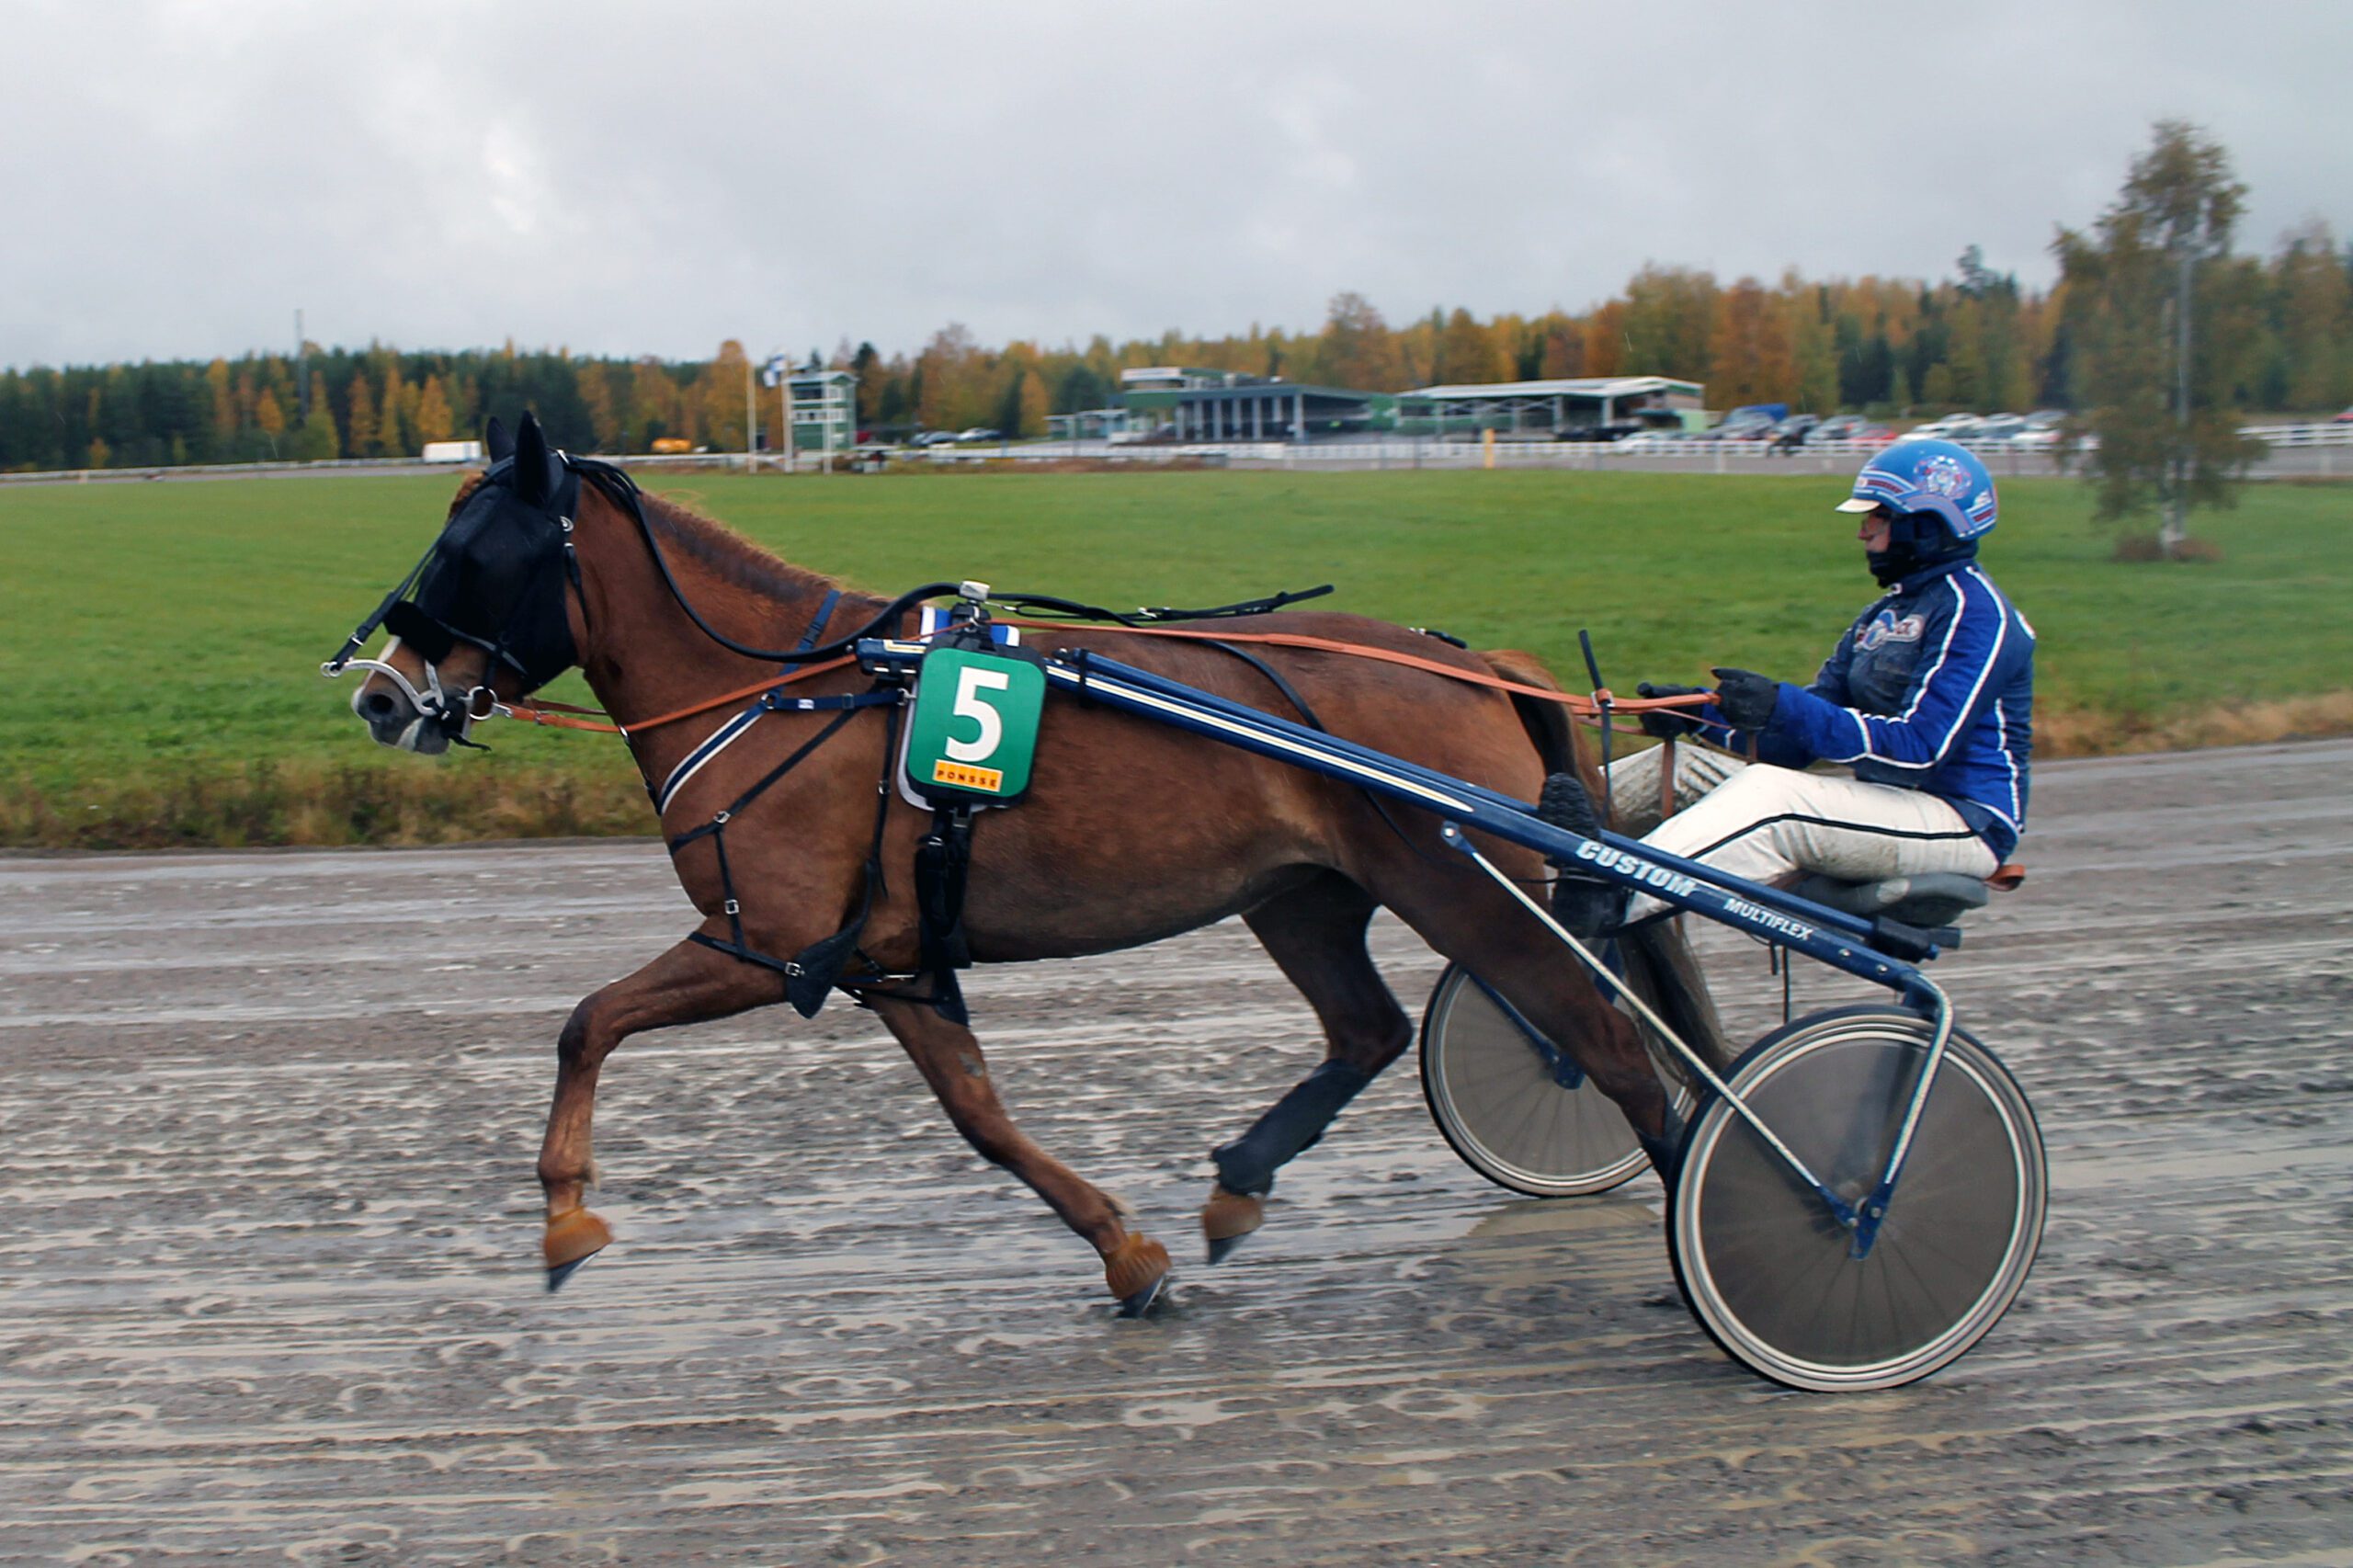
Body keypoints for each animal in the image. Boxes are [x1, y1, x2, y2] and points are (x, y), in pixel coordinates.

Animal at [342, 412, 1726, 1313]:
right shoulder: (890, 959)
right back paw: (1238, 1183)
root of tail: (1483, 661)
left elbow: (587, 1019)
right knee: (1369, 1028)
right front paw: (1127, 1250)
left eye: (468, 554)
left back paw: (1704, 1232)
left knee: (1608, 1045)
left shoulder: (765, 940)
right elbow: (982, 1116)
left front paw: (564, 1210)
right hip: (1303, 895)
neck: (784, 692)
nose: (378, 695)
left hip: (1468, 887)